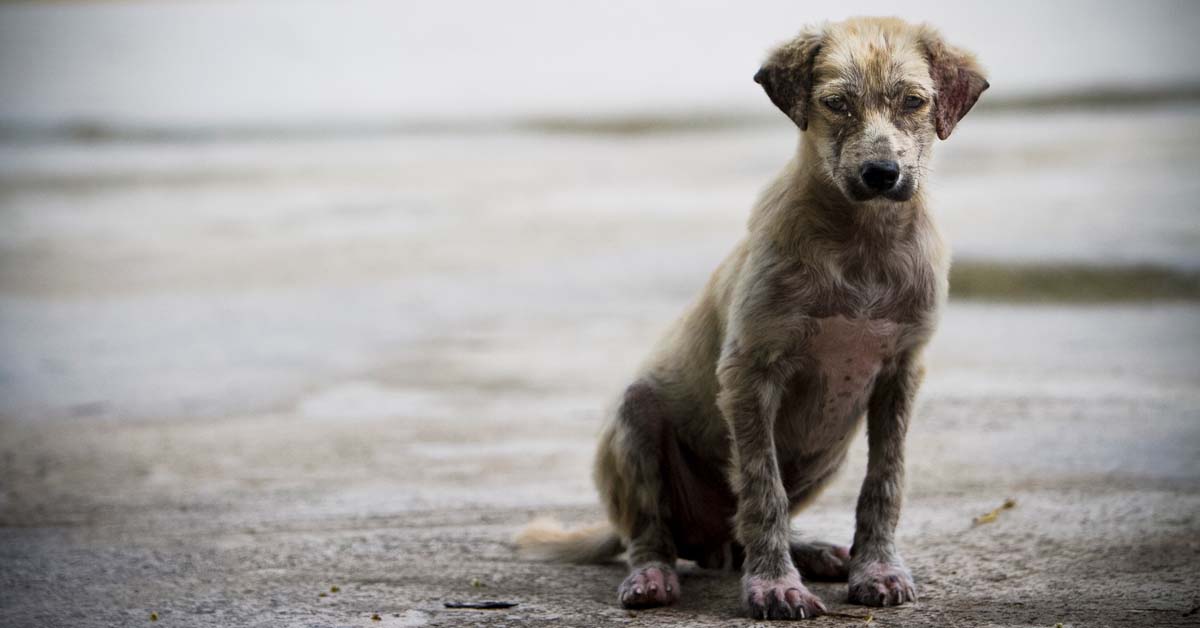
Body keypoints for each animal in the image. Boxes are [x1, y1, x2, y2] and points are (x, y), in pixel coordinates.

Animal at [520, 17, 988, 619]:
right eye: (836, 103)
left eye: (913, 101)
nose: (881, 174)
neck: (861, 242)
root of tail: (706, 541)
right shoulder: (750, 373)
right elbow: (764, 490)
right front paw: (775, 586)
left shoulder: (901, 373)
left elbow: (884, 481)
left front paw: (877, 569)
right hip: (636, 418)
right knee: (652, 533)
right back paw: (653, 576)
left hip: (829, 449)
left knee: (741, 533)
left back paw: (812, 551)